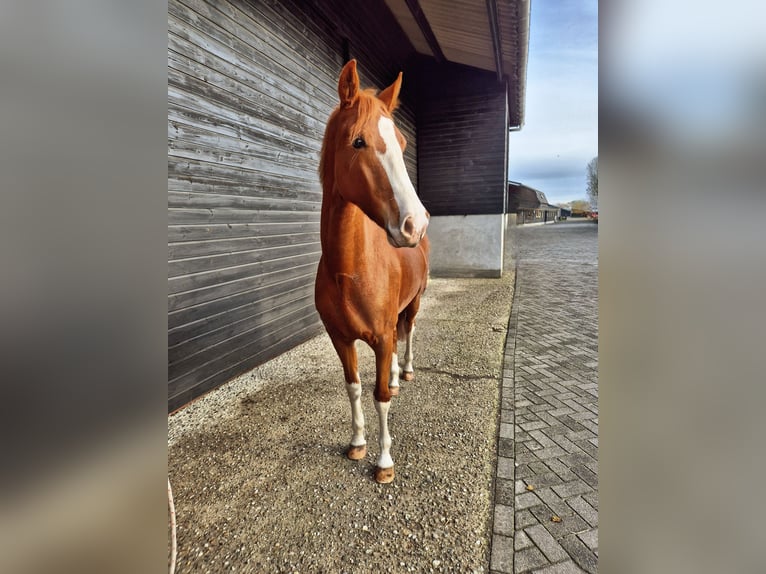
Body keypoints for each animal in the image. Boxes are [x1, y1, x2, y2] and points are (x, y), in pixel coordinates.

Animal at [314, 60, 430, 484]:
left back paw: (405, 373)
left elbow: (379, 397)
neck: (350, 272)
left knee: (407, 333)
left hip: (414, 302)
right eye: (358, 142)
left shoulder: (379, 336)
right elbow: (354, 387)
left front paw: (383, 462)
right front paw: (357, 443)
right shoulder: (340, 339)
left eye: (403, 143)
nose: (415, 224)